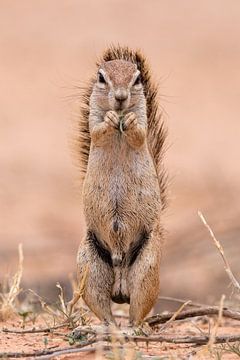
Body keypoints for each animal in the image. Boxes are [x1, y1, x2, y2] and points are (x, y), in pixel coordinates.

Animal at [75, 45, 167, 330]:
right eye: (101, 77)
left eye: (136, 79)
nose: (120, 98)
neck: (120, 126)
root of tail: (120, 288)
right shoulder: (93, 119)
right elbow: (98, 130)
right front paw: (110, 117)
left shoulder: (143, 120)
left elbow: (139, 134)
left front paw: (130, 121)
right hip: (89, 268)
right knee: (103, 309)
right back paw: (102, 327)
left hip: (146, 268)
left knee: (137, 309)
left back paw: (135, 329)